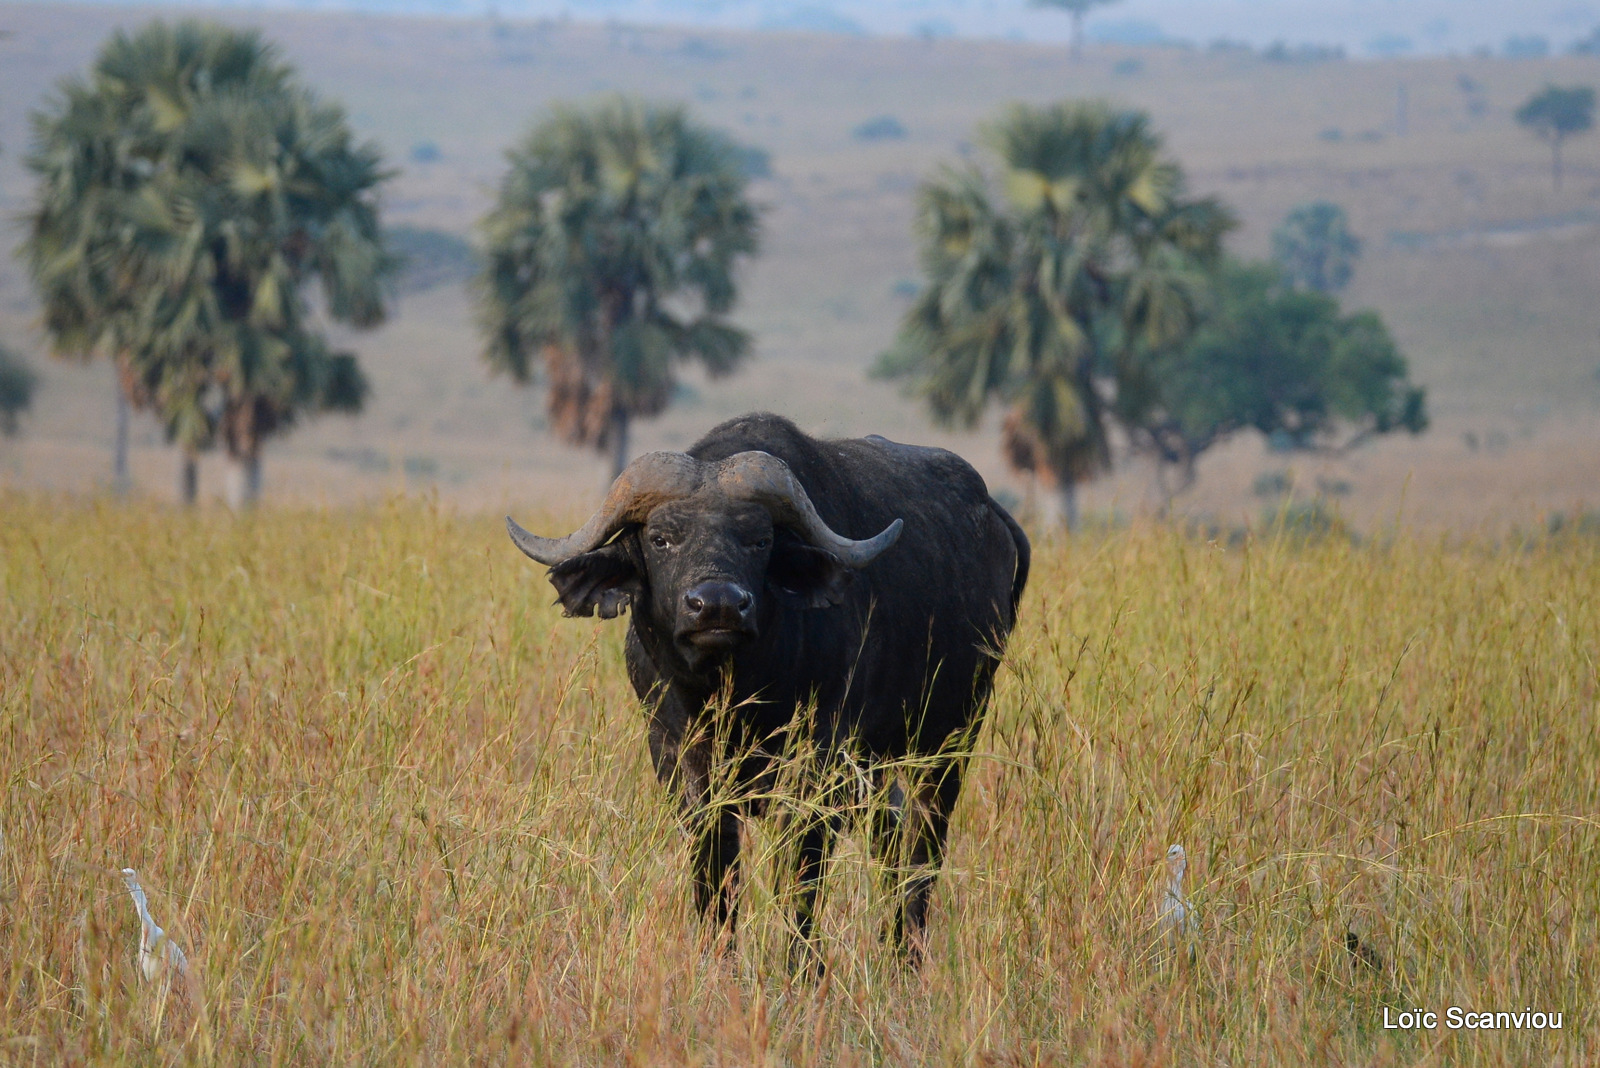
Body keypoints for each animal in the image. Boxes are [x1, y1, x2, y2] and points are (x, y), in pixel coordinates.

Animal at [502, 412, 1024, 965]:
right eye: (661, 539)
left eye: (759, 540)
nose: (717, 605)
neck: (728, 698)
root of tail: (994, 518)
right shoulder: (680, 763)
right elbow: (715, 878)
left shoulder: (817, 767)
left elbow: (801, 879)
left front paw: (802, 968)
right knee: (891, 836)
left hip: (950, 739)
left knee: (923, 846)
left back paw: (907, 955)